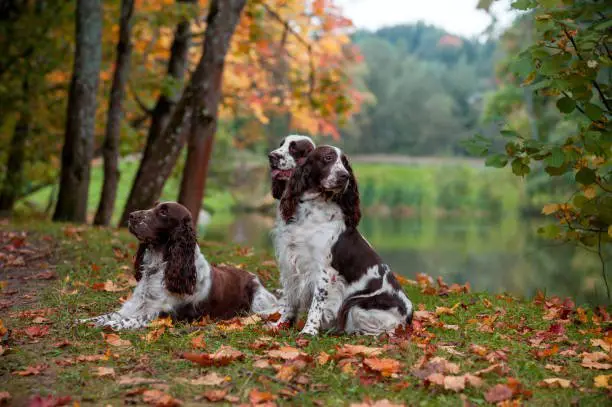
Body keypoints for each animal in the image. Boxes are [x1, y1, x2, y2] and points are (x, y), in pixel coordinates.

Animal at [80, 202, 278, 330]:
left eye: (164, 212)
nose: (131, 215)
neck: (161, 267)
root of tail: (254, 277)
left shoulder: (165, 314)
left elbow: (132, 319)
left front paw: (112, 325)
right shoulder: (135, 305)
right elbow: (111, 314)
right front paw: (85, 320)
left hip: (259, 303)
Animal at [274, 147, 414, 338]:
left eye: (346, 163)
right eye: (328, 158)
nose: (344, 176)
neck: (312, 213)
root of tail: (409, 314)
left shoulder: (324, 271)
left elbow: (316, 305)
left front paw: (309, 331)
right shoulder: (290, 264)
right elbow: (290, 301)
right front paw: (280, 325)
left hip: (357, 305)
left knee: (387, 329)